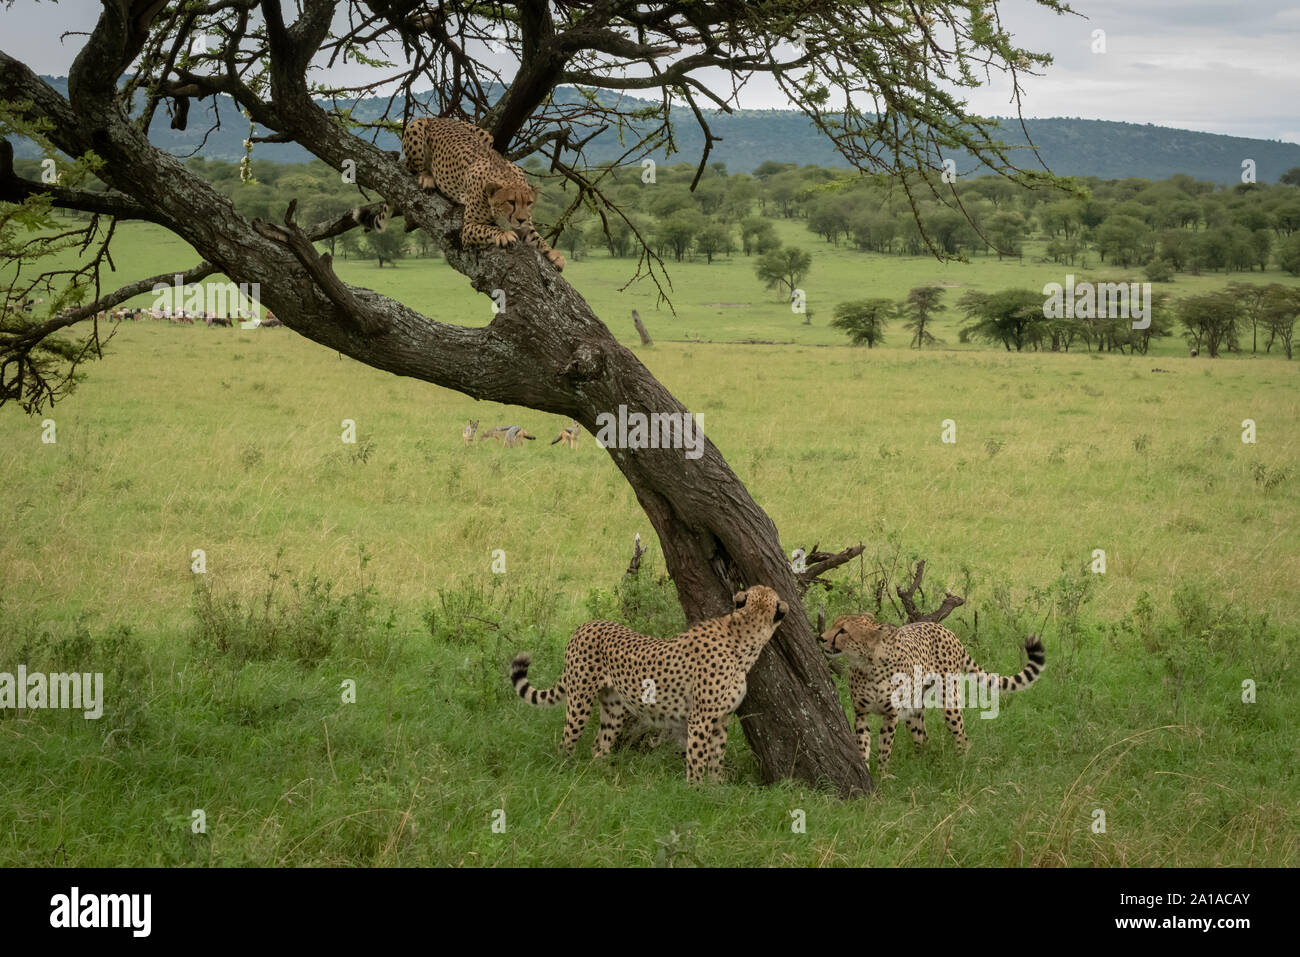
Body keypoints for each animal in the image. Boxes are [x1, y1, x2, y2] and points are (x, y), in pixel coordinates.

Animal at [400, 116, 565, 271]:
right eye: (511, 202)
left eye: (529, 203)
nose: (521, 219)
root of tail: (438, 118)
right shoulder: (468, 227)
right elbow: (488, 228)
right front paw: (504, 234)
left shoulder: (524, 225)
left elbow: (536, 237)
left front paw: (553, 254)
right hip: (416, 126)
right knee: (414, 167)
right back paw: (427, 177)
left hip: (486, 135)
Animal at [511, 584, 789, 783]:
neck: (743, 636)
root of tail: (586, 625)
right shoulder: (700, 718)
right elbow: (697, 757)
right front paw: (695, 792)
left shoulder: (721, 717)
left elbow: (716, 757)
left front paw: (717, 790)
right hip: (580, 699)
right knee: (567, 740)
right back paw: (565, 771)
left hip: (614, 707)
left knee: (599, 744)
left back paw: (603, 774)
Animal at [819, 613, 1044, 773]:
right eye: (834, 624)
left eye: (842, 631)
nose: (821, 638)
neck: (866, 665)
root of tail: (943, 628)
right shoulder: (861, 713)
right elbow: (863, 744)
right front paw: (866, 771)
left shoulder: (891, 714)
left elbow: (885, 747)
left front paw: (882, 775)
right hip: (913, 708)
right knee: (923, 736)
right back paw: (921, 762)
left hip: (949, 701)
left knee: (961, 735)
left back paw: (962, 762)